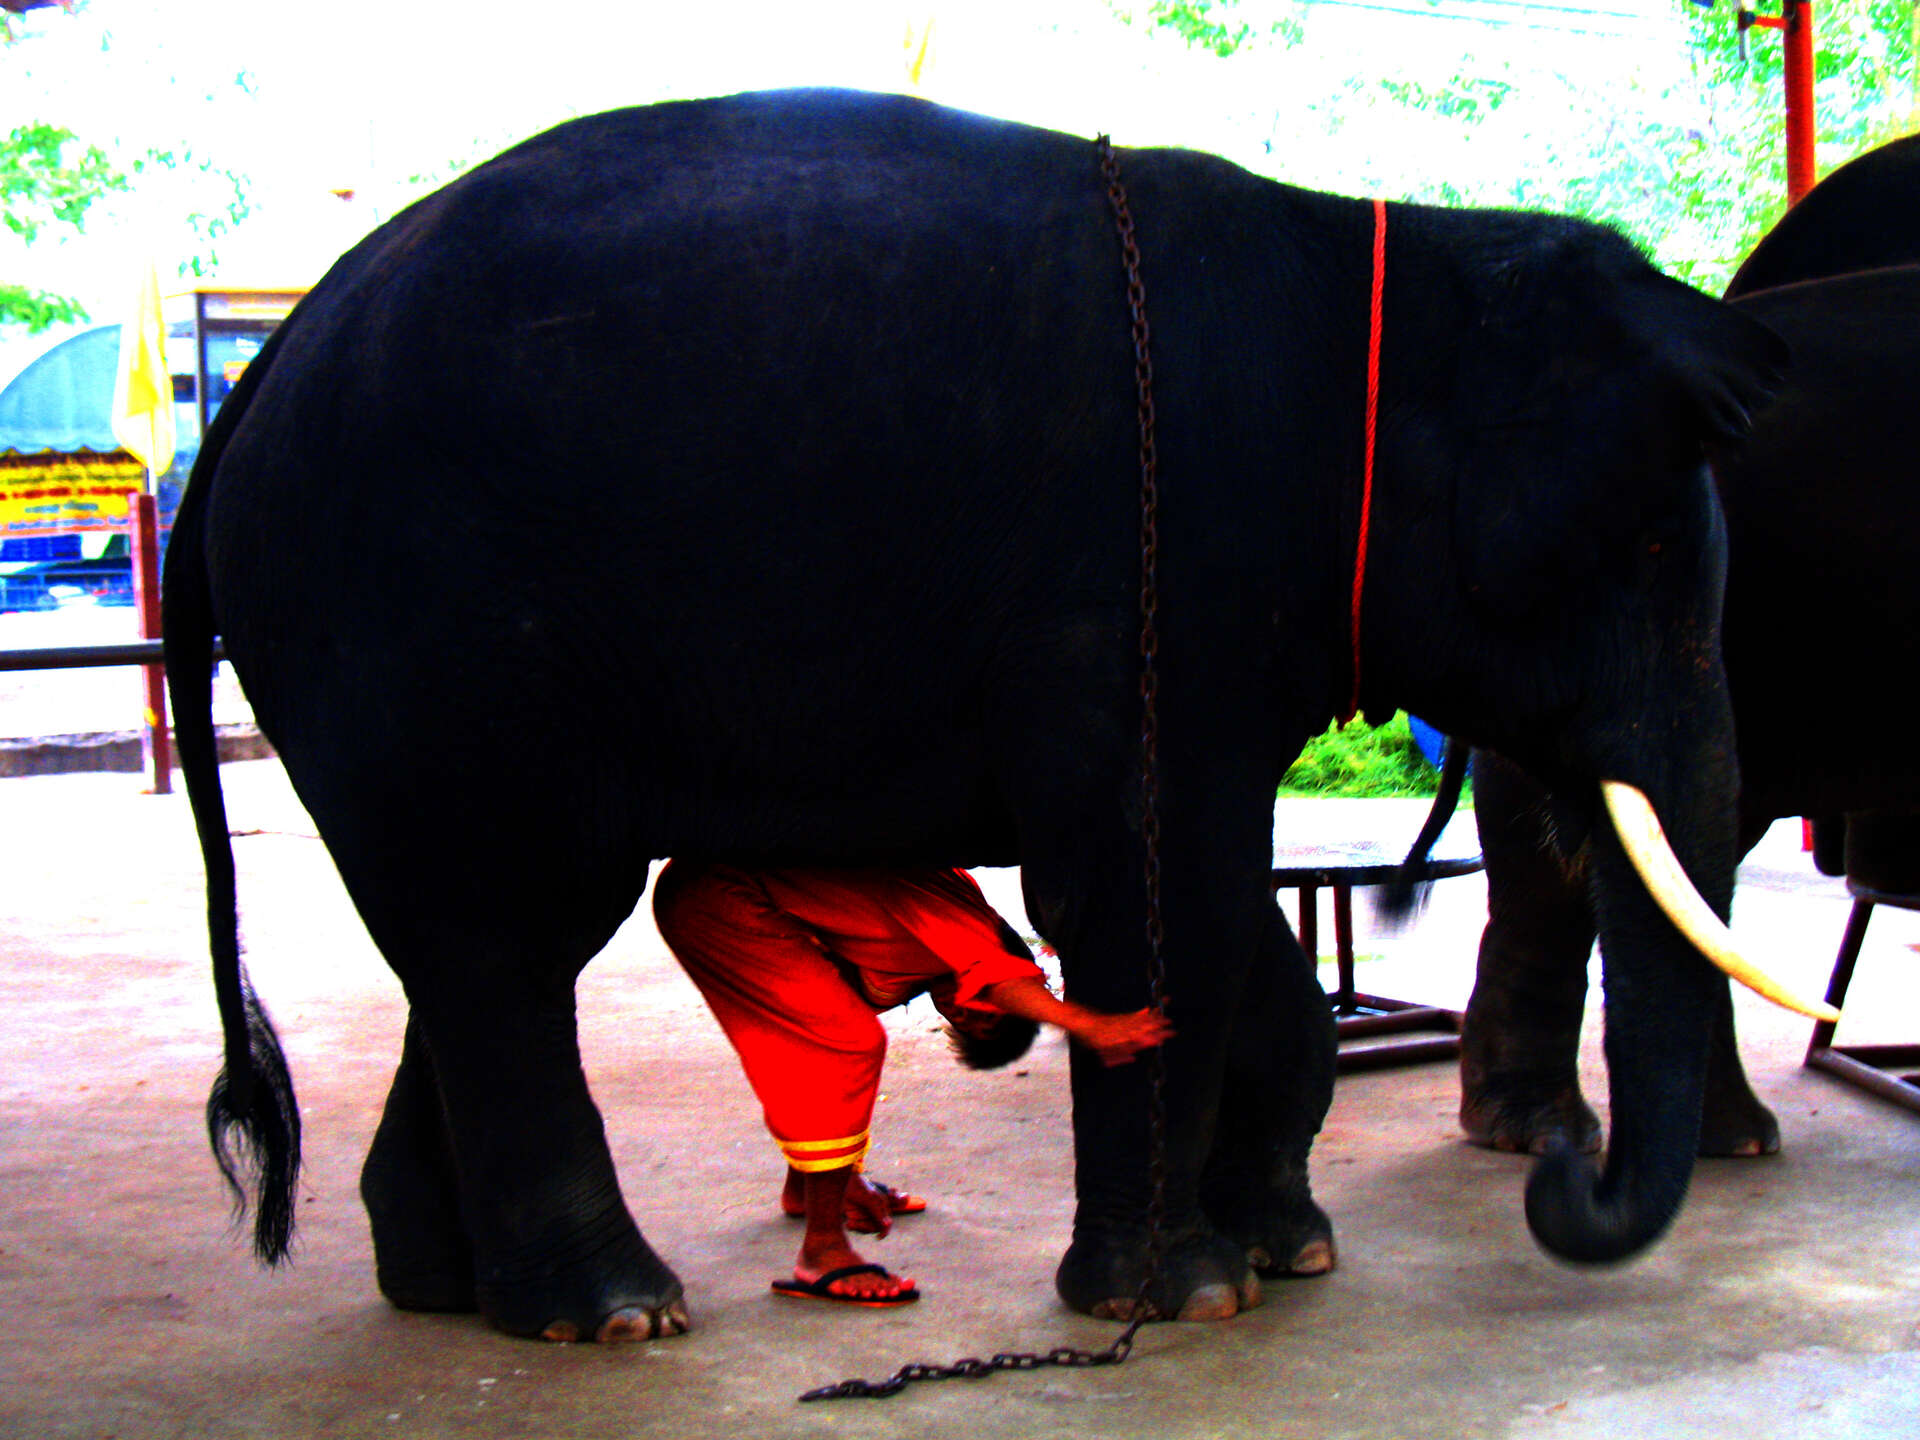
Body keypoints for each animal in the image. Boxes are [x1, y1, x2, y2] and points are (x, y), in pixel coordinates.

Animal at [165, 88, 1793, 1343]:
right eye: (1649, 544)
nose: (1559, 1175)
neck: (1388, 240)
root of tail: (261, 373)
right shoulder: (1148, 580)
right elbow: (1157, 895)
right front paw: (1183, 1299)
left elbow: (1222, 908)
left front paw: (1289, 1251)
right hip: (419, 634)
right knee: (511, 934)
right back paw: (617, 1312)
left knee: (481, 940)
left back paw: (455, 1293)